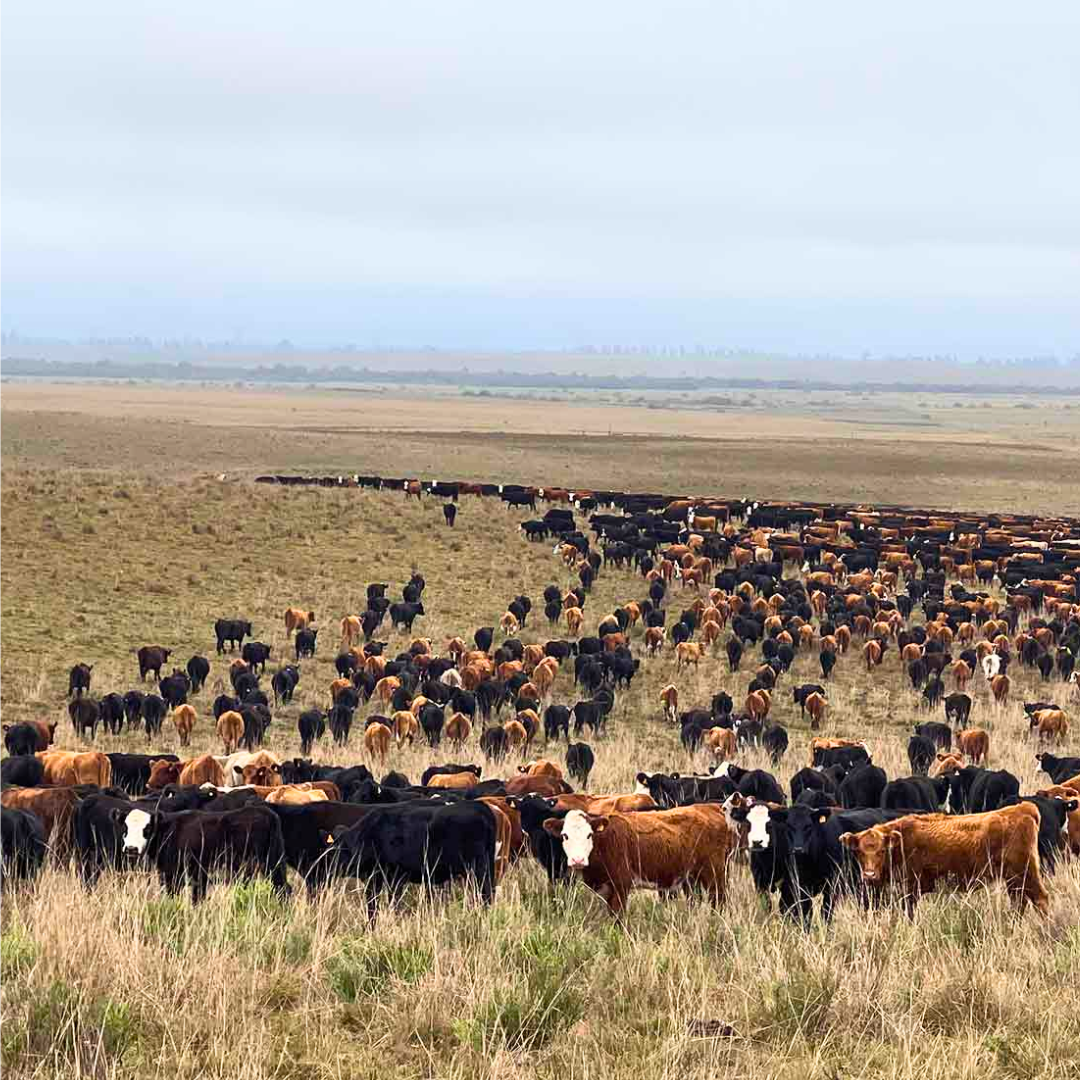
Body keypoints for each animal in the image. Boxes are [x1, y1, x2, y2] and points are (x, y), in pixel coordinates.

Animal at [839, 803, 1048, 915]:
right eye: (859, 852)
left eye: (882, 851)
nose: (869, 875)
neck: (901, 841)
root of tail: (1023, 808)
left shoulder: (911, 889)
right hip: (1013, 880)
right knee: (1019, 903)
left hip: (1025, 873)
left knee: (1041, 898)